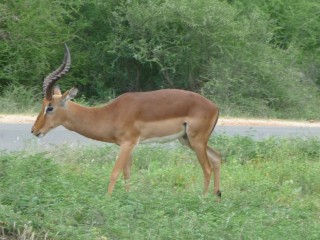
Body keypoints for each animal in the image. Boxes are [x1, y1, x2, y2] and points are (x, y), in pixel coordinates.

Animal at [31, 44, 222, 198]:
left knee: (207, 168)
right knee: (217, 158)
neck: (109, 114)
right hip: (187, 140)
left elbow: (115, 172)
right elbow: (127, 174)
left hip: (196, 141)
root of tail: (215, 107)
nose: (34, 130)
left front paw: (107, 200)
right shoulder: (128, 146)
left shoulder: (127, 144)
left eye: (50, 107)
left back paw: (203, 199)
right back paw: (216, 197)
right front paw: (127, 198)